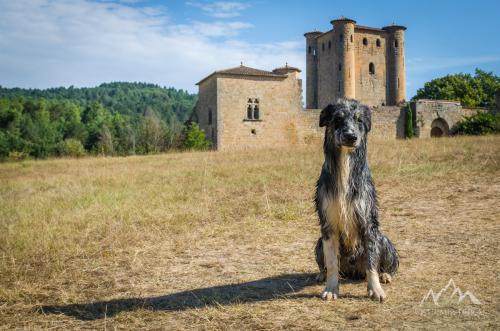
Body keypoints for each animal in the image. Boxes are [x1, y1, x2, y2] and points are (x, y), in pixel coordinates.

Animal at [316, 98, 398, 304]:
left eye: (359, 120)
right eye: (338, 119)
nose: (351, 136)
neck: (345, 165)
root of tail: (353, 271)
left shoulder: (368, 223)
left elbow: (372, 263)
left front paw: (375, 290)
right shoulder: (328, 225)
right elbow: (332, 264)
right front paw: (331, 289)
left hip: (384, 239)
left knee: (383, 264)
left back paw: (385, 275)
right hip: (318, 242)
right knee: (326, 266)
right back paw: (320, 275)